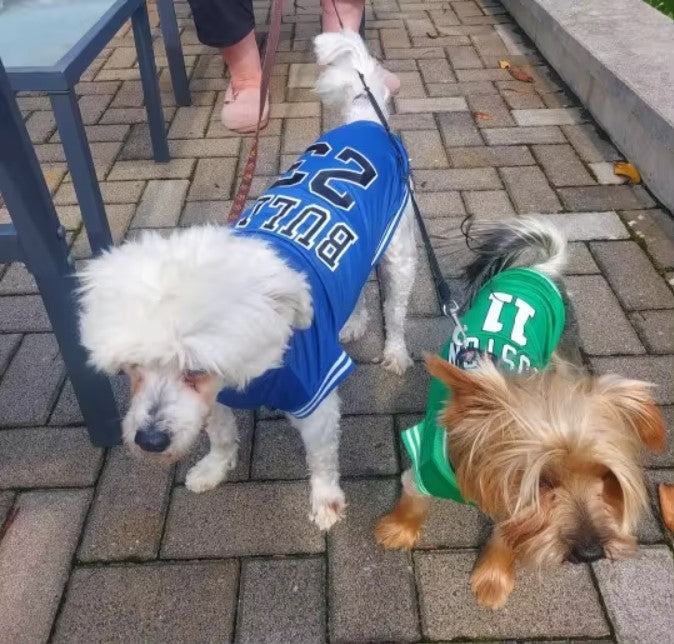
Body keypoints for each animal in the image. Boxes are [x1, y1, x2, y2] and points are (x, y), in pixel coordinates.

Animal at [77, 30, 414, 532]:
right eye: (132, 367)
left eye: (194, 368)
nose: (150, 442)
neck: (251, 371)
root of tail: (365, 121)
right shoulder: (216, 397)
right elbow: (219, 434)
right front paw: (214, 468)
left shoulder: (315, 399)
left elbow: (322, 459)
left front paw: (326, 501)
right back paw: (352, 322)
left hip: (400, 253)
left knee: (396, 307)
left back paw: (395, 352)